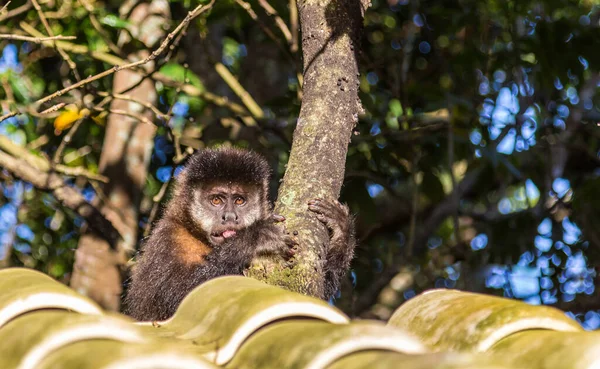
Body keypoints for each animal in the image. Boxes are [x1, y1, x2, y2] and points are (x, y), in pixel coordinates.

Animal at [123, 146, 354, 320]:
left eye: (239, 201)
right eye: (217, 200)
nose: (230, 216)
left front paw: (341, 226)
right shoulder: (167, 240)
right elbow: (179, 301)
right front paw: (254, 237)